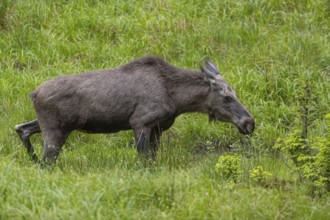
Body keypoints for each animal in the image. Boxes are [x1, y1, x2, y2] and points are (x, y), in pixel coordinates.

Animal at [15, 56, 255, 163]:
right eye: (226, 97)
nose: (249, 122)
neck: (177, 99)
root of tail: (33, 94)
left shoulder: (158, 128)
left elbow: (152, 159)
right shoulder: (140, 123)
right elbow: (144, 160)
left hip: (52, 126)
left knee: (21, 128)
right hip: (55, 131)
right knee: (46, 161)